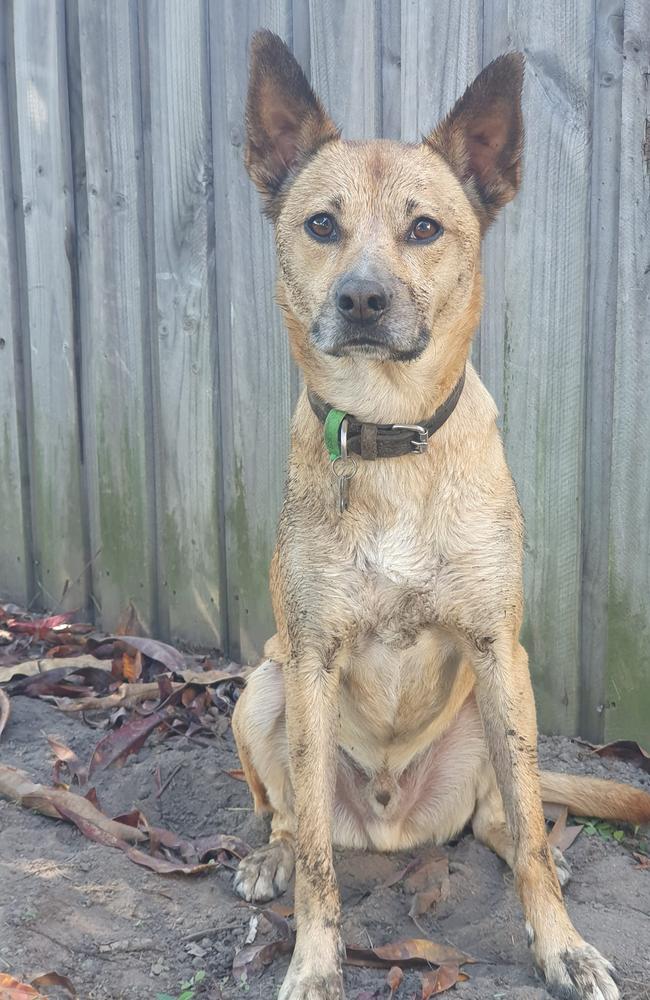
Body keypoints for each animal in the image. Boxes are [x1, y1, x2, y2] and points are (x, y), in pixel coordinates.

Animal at [229, 31, 648, 1000]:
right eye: (321, 226)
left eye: (424, 228)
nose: (362, 300)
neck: (393, 444)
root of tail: (392, 825)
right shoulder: (308, 662)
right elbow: (317, 856)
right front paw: (314, 962)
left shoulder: (499, 649)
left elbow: (528, 828)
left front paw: (561, 946)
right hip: (261, 686)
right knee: (288, 815)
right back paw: (269, 855)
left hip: (500, 712)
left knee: (508, 820)